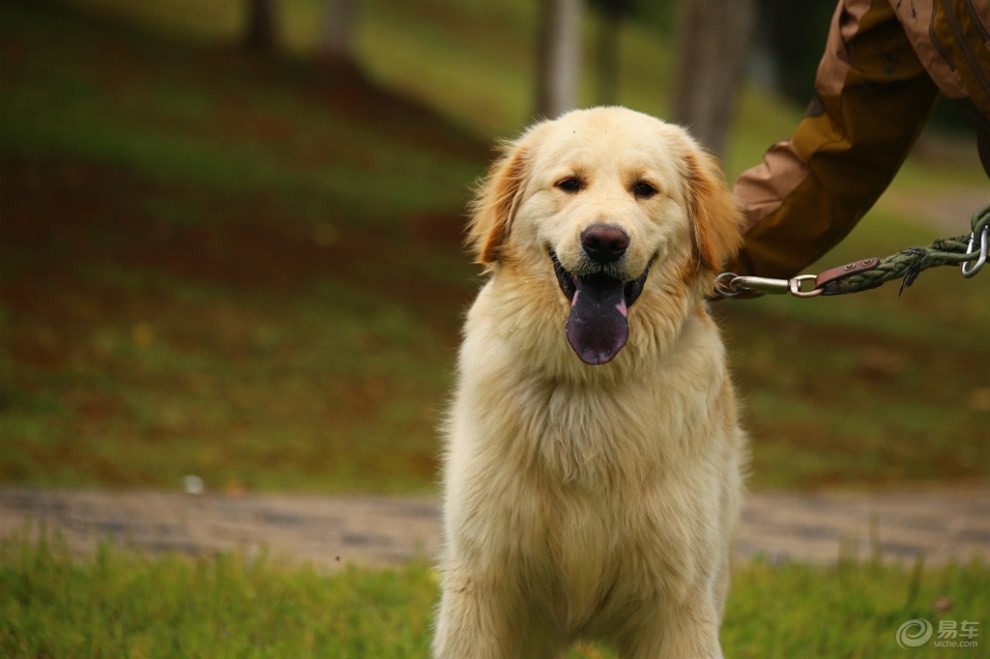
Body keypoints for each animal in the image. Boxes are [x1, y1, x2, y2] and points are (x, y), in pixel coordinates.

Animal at [438, 108, 748, 659]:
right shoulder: (480, 582)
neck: (589, 384)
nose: (604, 240)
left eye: (644, 189)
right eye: (569, 184)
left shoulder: (680, 605)